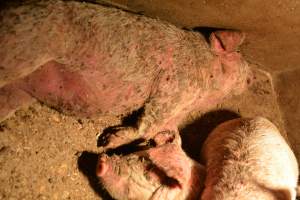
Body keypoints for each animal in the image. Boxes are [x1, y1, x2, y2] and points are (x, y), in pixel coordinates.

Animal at [0, 0, 251, 149]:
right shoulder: (174, 88)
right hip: (26, 51)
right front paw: (106, 142)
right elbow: (147, 121)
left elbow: (162, 130)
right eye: (238, 56)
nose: (252, 78)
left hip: (19, 91)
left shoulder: (176, 112)